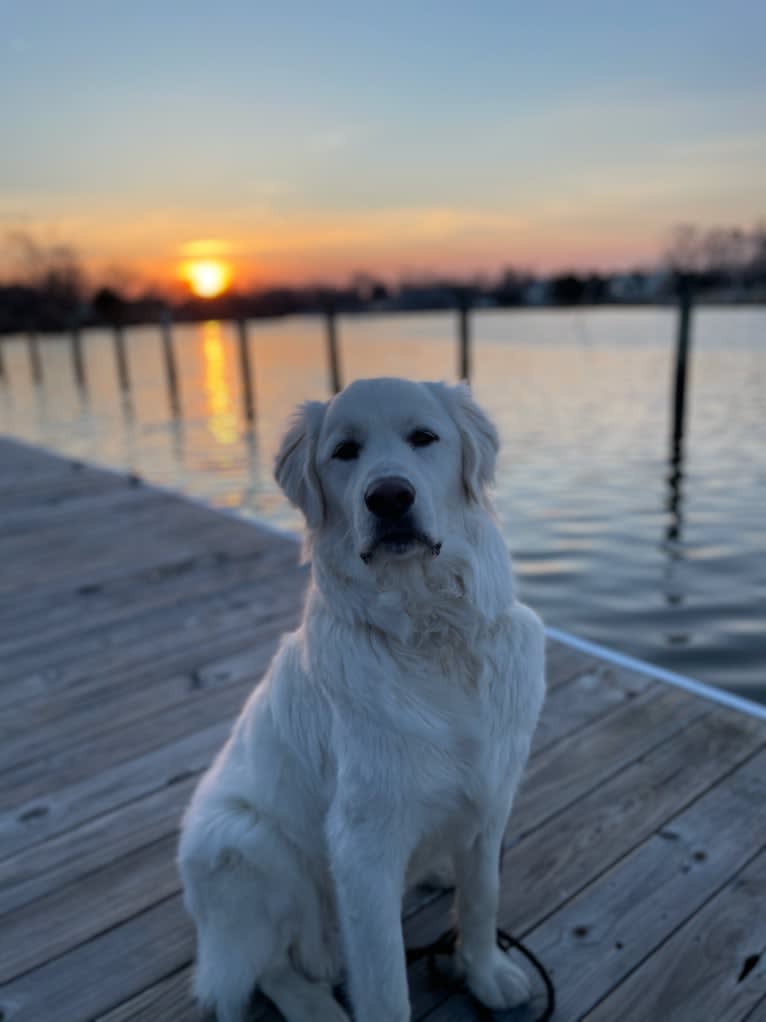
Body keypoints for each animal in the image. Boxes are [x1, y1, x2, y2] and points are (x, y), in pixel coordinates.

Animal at [179, 378, 547, 1021]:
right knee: (261, 967)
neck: (432, 634)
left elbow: (483, 901)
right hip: (243, 844)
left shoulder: (491, 801)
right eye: (344, 452)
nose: (390, 498)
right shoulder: (362, 852)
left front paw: (486, 974)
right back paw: (315, 1005)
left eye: (424, 437)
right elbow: (384, 985)